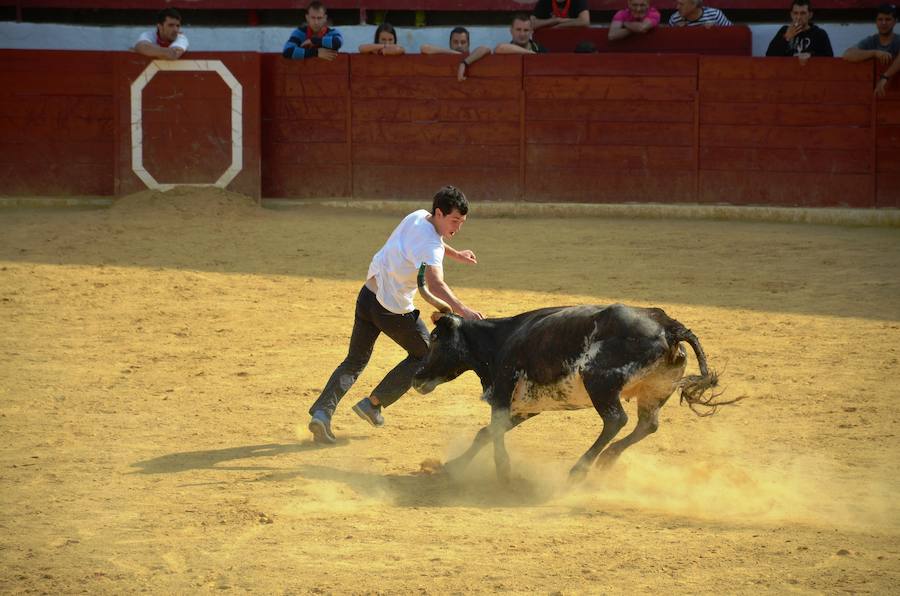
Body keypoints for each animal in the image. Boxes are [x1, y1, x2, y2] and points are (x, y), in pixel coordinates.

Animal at [410, 272, 740, 482]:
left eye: (436, 337)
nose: (416, 378)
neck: (499, 340)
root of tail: (669, 326)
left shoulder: (503, 390)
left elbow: (494, 429)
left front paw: (504, 472)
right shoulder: (528, 407)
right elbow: (486, 432)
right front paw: (450, 467)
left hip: (601, 382)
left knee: (616, 420)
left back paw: (580, 470)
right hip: (655, 390)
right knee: (647, 425)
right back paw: (606, 461)